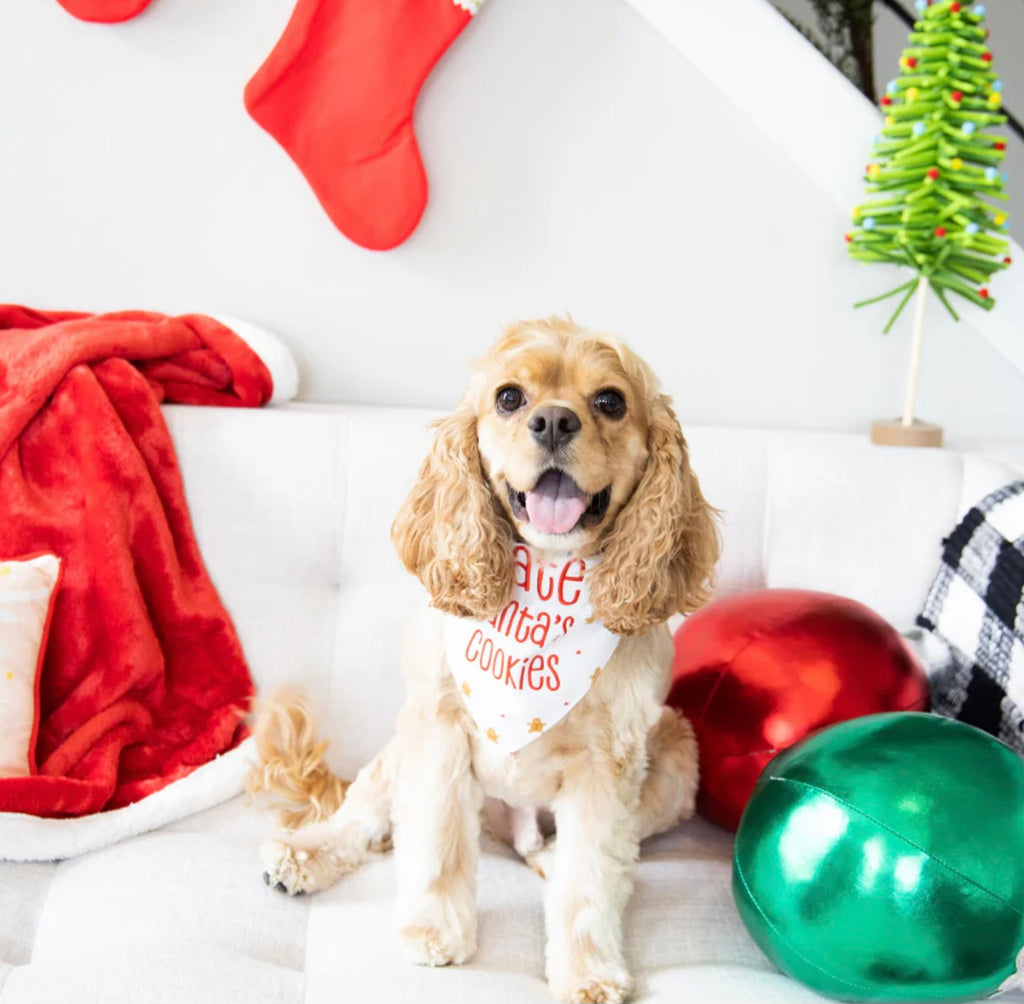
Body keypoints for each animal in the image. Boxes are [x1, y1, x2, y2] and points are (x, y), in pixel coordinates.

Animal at [256, 317, 720, 999]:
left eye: (610, 401)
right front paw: (432, 929)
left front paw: (589, 971)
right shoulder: (438, 725)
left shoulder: (610, 763)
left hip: (677, 756)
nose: (553, 421)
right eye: (509, 398)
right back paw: (304, 855)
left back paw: (548, 858)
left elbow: (592, 876)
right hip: (400, 744)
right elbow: (437, 838)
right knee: (362, 814)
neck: (548, 576)